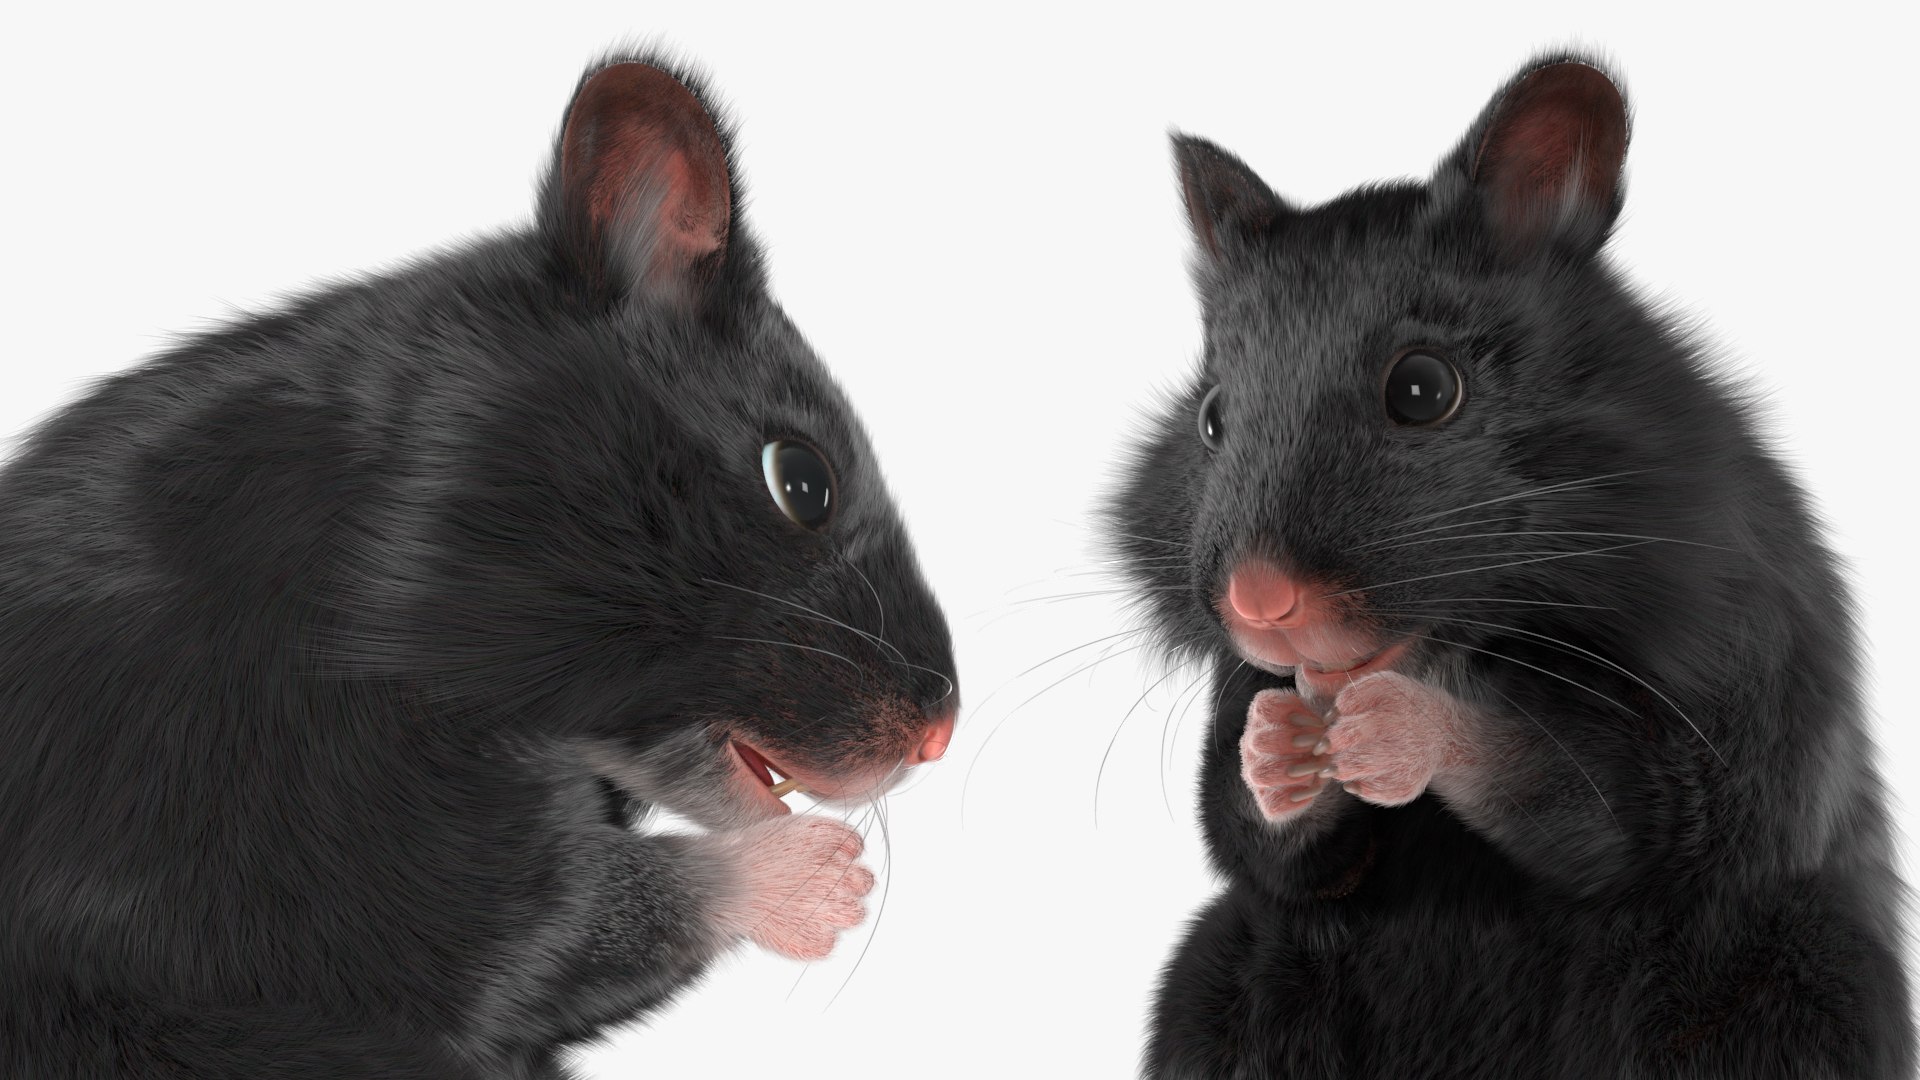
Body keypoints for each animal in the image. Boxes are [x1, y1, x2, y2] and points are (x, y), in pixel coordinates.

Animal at [1114, 53, 1913, 1078]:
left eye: (1423, 389)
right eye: (1212, 416)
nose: (1258, 605)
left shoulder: (1733, 695)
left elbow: (1608, 804)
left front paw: (1401, 727)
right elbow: (1262, 841)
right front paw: (1278, 747)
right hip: (1225, 984)